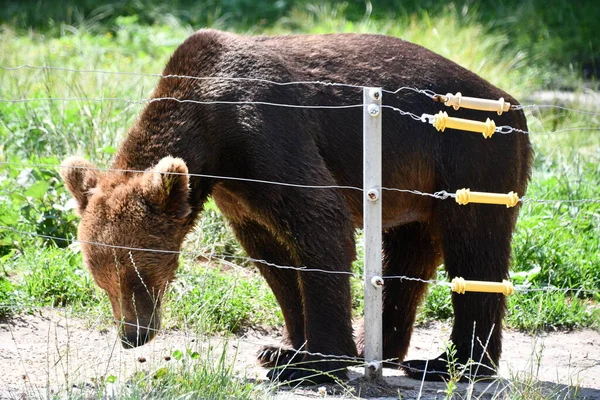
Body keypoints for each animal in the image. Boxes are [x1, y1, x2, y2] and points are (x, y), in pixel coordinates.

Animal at [61, 28, 528, 384]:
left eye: (136, 273)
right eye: (102, 280)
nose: (132, 335)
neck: (213, 140)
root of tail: (513, 101)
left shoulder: (266, 132)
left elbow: (320, 221)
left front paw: (312, 364)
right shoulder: (239, 193)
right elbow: (274, 258)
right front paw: (285, 348)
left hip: (469, 155)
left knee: (476, 252)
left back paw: (452, 363)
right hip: (414, 186)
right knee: (406, 254)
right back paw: (378, 346)